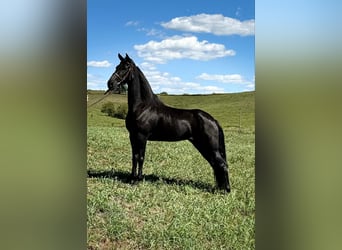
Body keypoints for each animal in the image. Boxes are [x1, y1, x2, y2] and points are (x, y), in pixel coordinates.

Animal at [105, 53, 231, 192]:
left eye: (125, 67)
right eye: (117, 67)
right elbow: (134, 157)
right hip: (202, 146)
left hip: (210, 146)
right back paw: (220, 188)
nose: (110, 83)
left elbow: (141, 157)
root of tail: (213, 120)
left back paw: (226, 190)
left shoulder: (141, 136)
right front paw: (131, 178)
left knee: (222, 164)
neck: (143, 107)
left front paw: (137, 180)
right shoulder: (132, 136)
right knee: (215, 164)